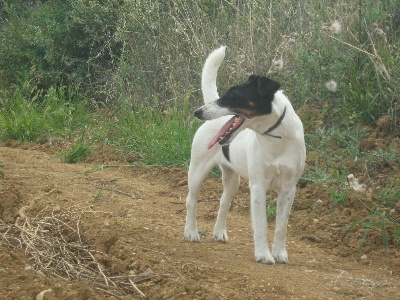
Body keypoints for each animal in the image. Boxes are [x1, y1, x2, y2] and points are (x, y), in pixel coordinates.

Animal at [184, 45, 306, 264]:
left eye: (232, 95)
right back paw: (191, 232)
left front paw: (279, 253)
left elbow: (281, 226)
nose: (198, 112)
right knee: (191, 200)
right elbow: (262, 224)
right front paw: (264, 254)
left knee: (224, 202)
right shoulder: (258, 186)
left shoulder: (289, 189)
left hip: (233, 180)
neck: (276, 139)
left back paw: (219, 232)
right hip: (197, 171)